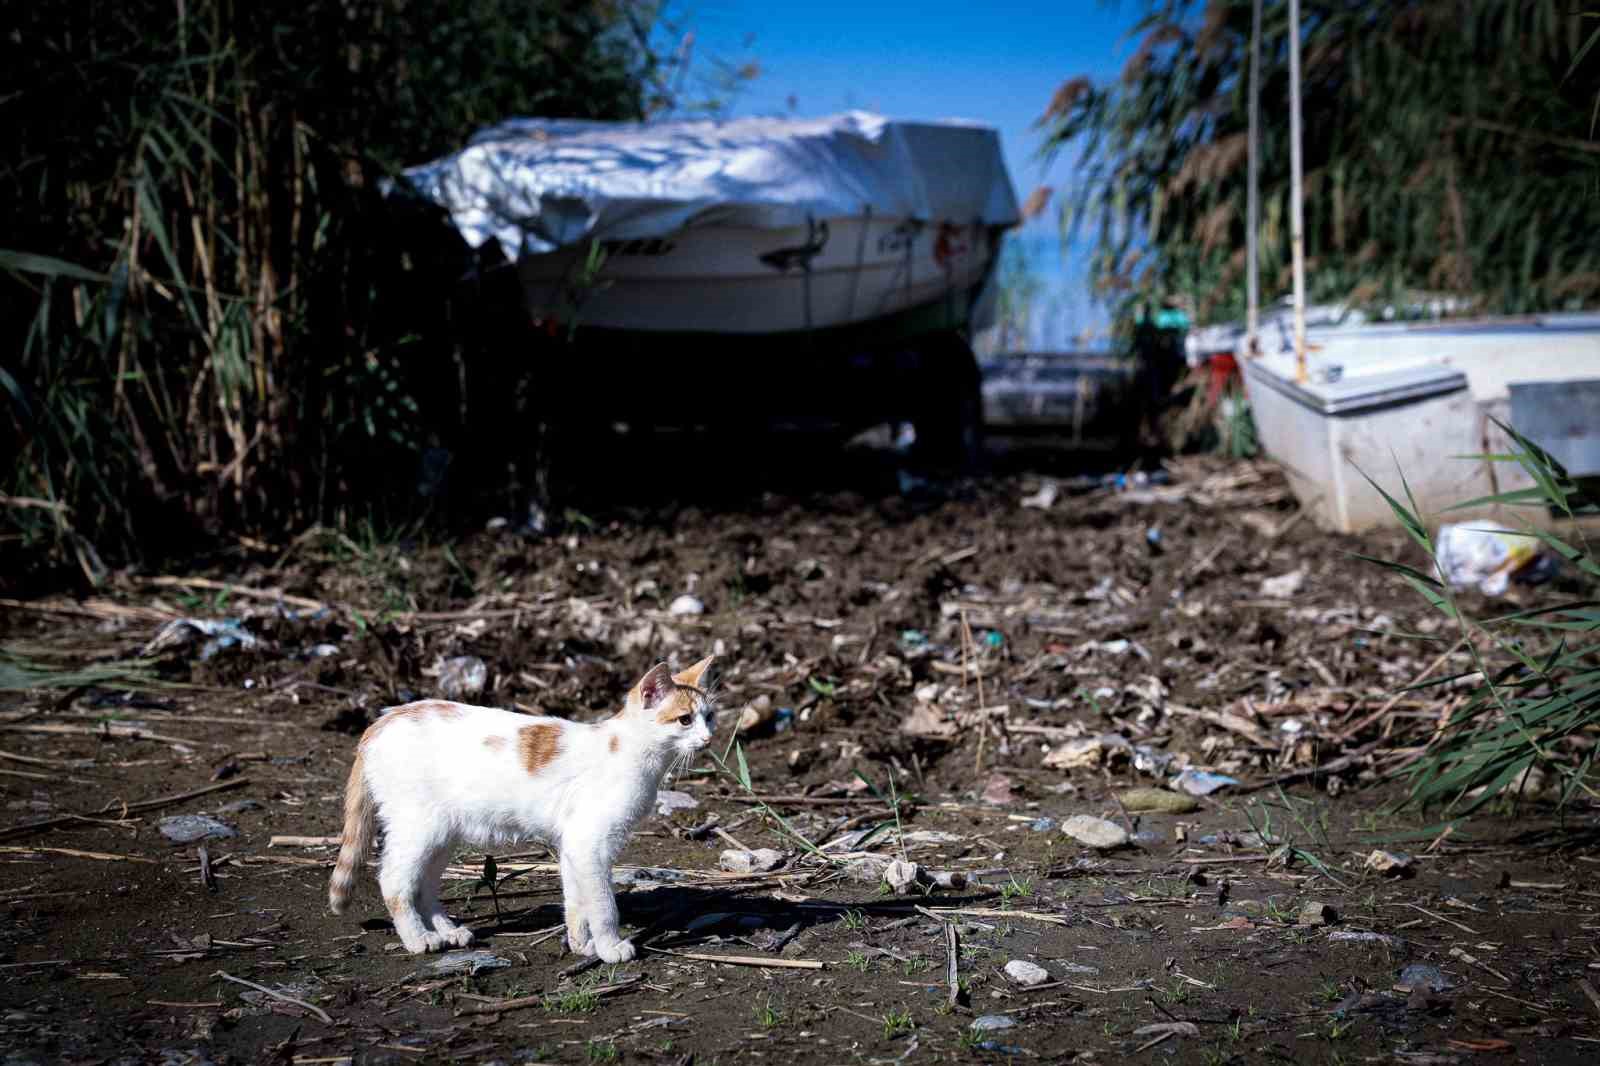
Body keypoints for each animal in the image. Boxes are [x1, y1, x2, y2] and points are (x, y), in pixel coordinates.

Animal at [328, 653, 716, 960]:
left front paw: (581, 945)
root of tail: (383, 719)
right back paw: (419, 938)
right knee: (394, 882)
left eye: (709, 717)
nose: (710, 738)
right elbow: (604, 905)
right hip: (419, 829)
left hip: (441, 836)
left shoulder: (574, 847)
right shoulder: (590, 844)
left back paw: (447, 931)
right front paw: (610, 947)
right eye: (685, 720)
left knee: (423, 885)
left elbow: (576, 902)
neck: (630, 752)